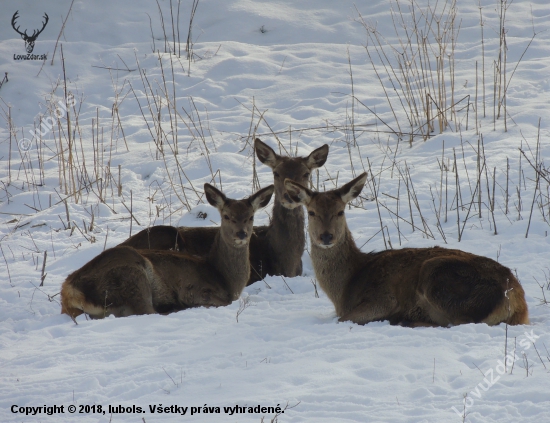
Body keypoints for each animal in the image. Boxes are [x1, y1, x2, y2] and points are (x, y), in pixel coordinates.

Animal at [60, 184, 274, 320]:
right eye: (227, 216)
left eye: (250, 216)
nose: (241, 233)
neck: (225, 278)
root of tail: (70, 292)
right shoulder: (195, 289)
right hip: (131, 278)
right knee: (147, 311)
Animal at [284, 172, 532, 328]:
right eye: (311, 212)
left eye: (340, 211)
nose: (326, 236)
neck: (345, 289)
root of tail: (517, 300)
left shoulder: (382, 298)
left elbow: (344, 319)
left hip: (440, 277)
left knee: (458, 322)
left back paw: (405, 320)